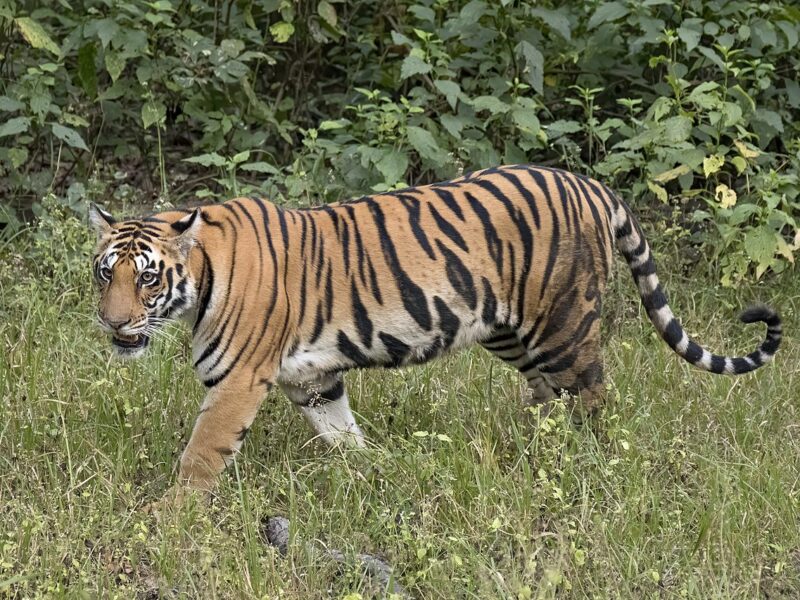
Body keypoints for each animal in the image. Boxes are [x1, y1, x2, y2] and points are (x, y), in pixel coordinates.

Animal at [89, 164, 780, 502]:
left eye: (147, 278)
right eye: (104, 273)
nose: (114, 322)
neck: (200, 280)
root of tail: (590, 184)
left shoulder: (237, 381)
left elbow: (201, 453)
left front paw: (172, 516)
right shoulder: (312, 378)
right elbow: (342, 432)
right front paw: (374, 470)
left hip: (563, 324)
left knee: (592, 397)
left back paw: (588, 464)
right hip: (509, 331)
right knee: (547, 395)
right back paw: (532, 450)